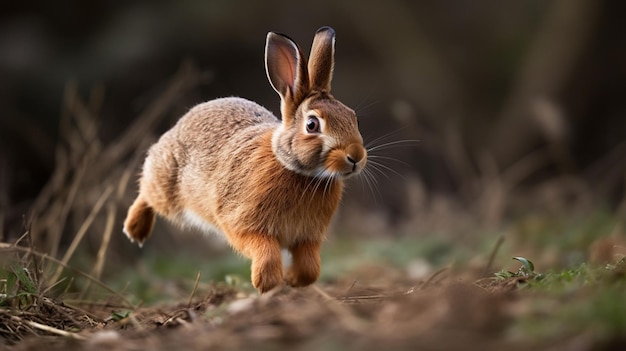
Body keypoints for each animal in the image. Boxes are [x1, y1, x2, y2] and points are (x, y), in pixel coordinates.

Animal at [122, 26, 366, 294]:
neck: (299, 171)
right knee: (148, 192)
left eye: (352, 117)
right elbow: (265, 252)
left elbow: (310, 268)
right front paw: (267, 285)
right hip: (169, 187)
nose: (356, 156)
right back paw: (135, 229)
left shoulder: (306, 239)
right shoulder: (243, 225)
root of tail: (181, 123)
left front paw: (291, 280)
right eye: (312, 125)